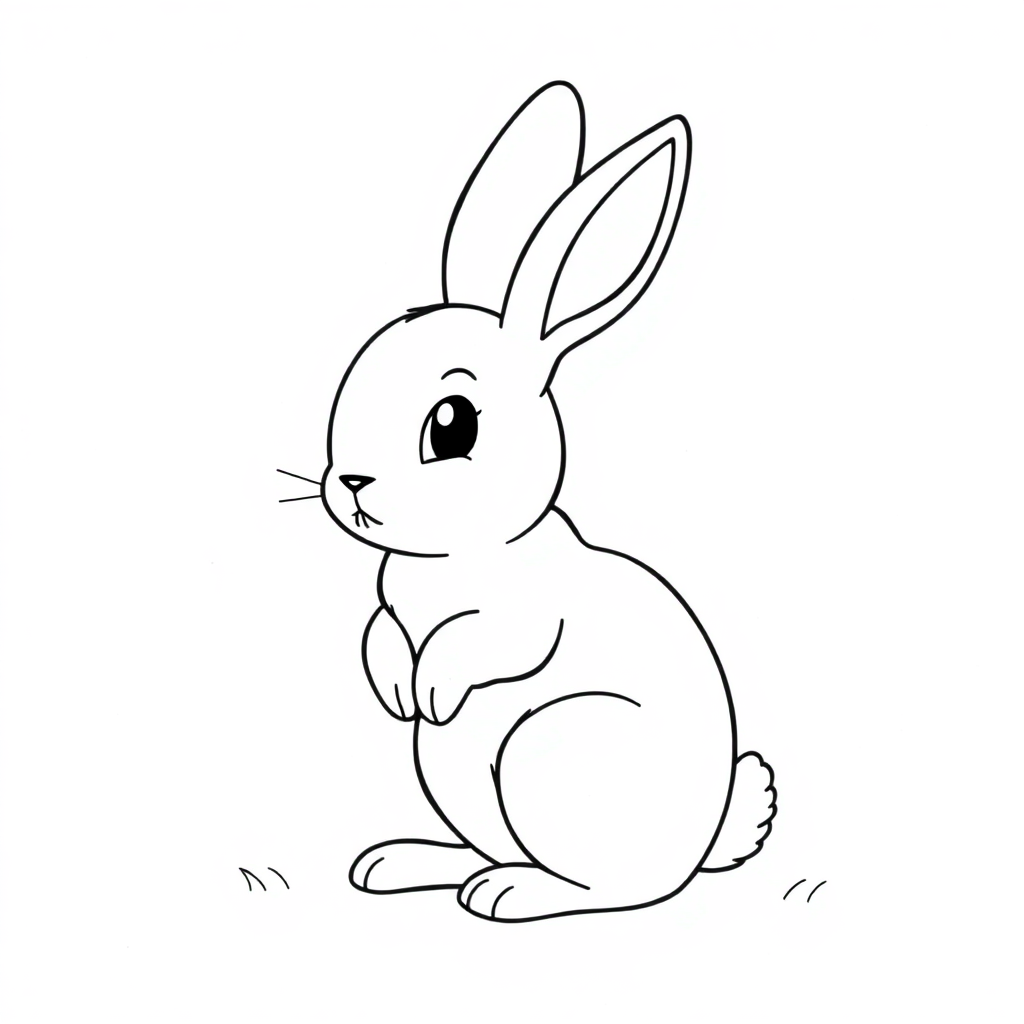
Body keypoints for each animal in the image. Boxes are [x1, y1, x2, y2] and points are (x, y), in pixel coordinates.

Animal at [319, 82, 776, 922]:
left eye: (452, 425)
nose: (350, 484)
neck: (463, 550)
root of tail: (697, 849)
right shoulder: (388, 607)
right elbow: (378, 634)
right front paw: (398, 691)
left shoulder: (527, 616)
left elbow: (486, 643)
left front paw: (430, 691)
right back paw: (403, 863)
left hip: (548, 750)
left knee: (614, 889)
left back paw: (507, 892)